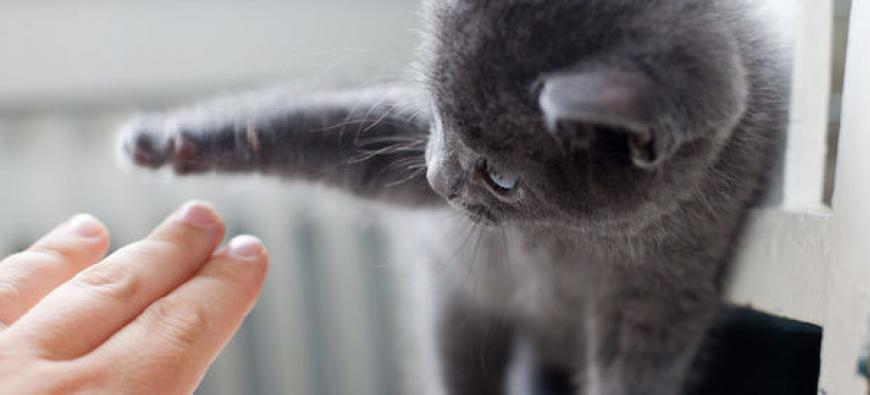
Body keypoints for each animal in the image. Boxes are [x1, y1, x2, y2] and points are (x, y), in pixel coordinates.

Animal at [121, 1, 792, 394]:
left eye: (503, 177)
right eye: (439, 115)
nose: (439, 180)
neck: (565, 235)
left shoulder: (666, 289)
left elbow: (636, 370)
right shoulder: (404, 148)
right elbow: (324, 133)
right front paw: (172, 142)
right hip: (459, 310)